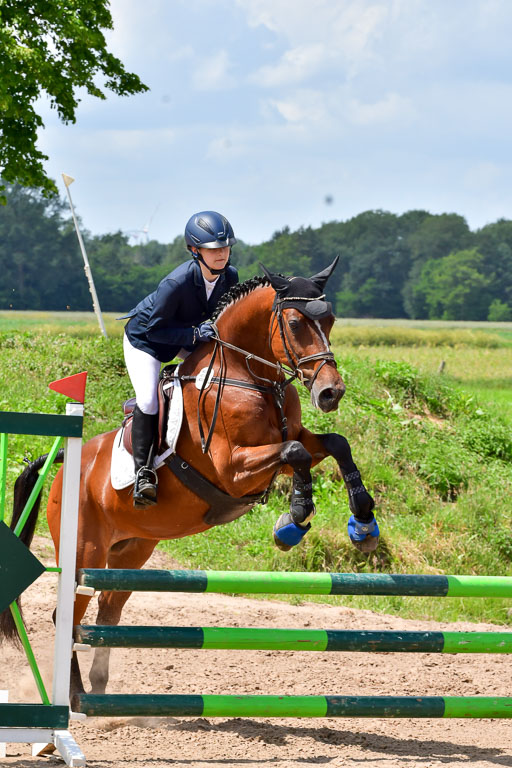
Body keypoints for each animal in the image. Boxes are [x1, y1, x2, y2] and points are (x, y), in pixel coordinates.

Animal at [1, 258, 378, 700]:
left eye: (330, 319)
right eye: (295, 322)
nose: (331, 393)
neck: (249, 376)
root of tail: (62, 465)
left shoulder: (291, 441)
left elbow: (335, 444)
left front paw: (363, 523)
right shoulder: (233, 468)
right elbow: (295, 454)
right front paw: (293, 520)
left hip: (131, 551)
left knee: (108, 611)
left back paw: (100, 689)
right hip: (84, 552)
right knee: (68, 615)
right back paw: (76, 697)